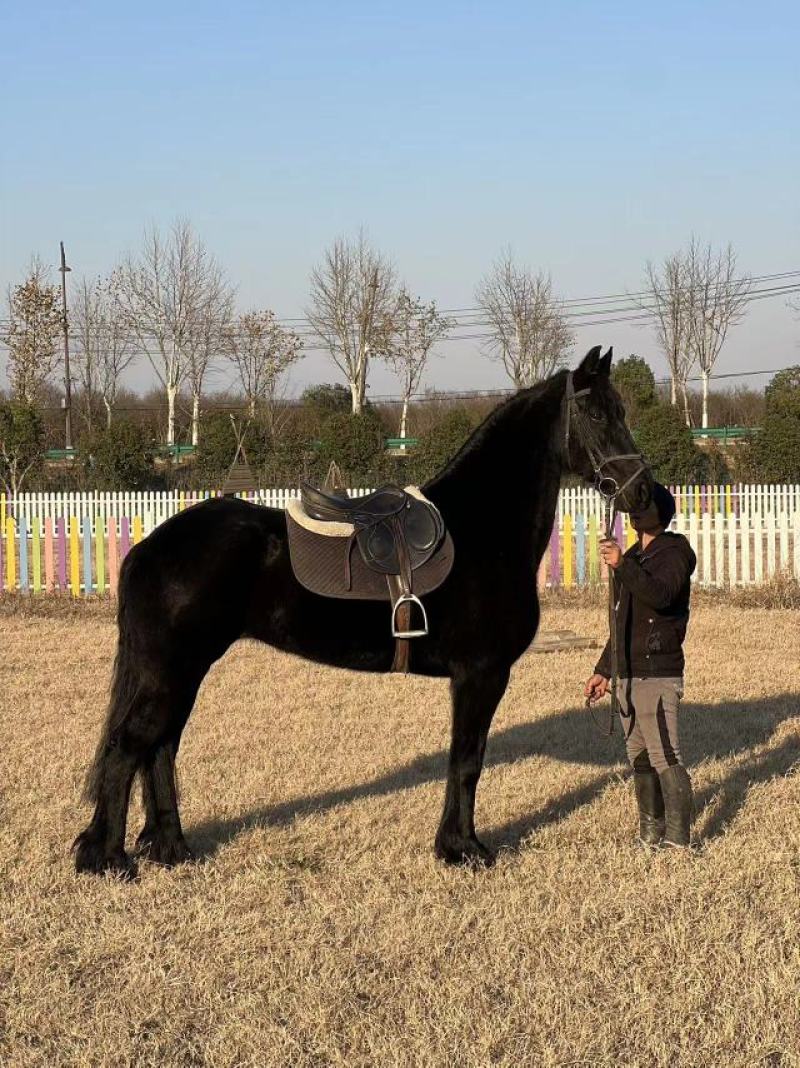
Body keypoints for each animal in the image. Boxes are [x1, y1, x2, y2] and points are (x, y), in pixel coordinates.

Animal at [73, 345, 652, 878]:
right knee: (131, 747)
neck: (482, 528)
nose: (644, 493)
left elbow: (463, 758)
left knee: (160, 749)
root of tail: (149, 547)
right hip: (173, 670)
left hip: (182, 671)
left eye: (622, 410)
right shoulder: (480, 675)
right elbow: (467, 760)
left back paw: (172, 849)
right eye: (596, 413)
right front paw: (463, 849)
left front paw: (455, 845)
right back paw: (106, 858)